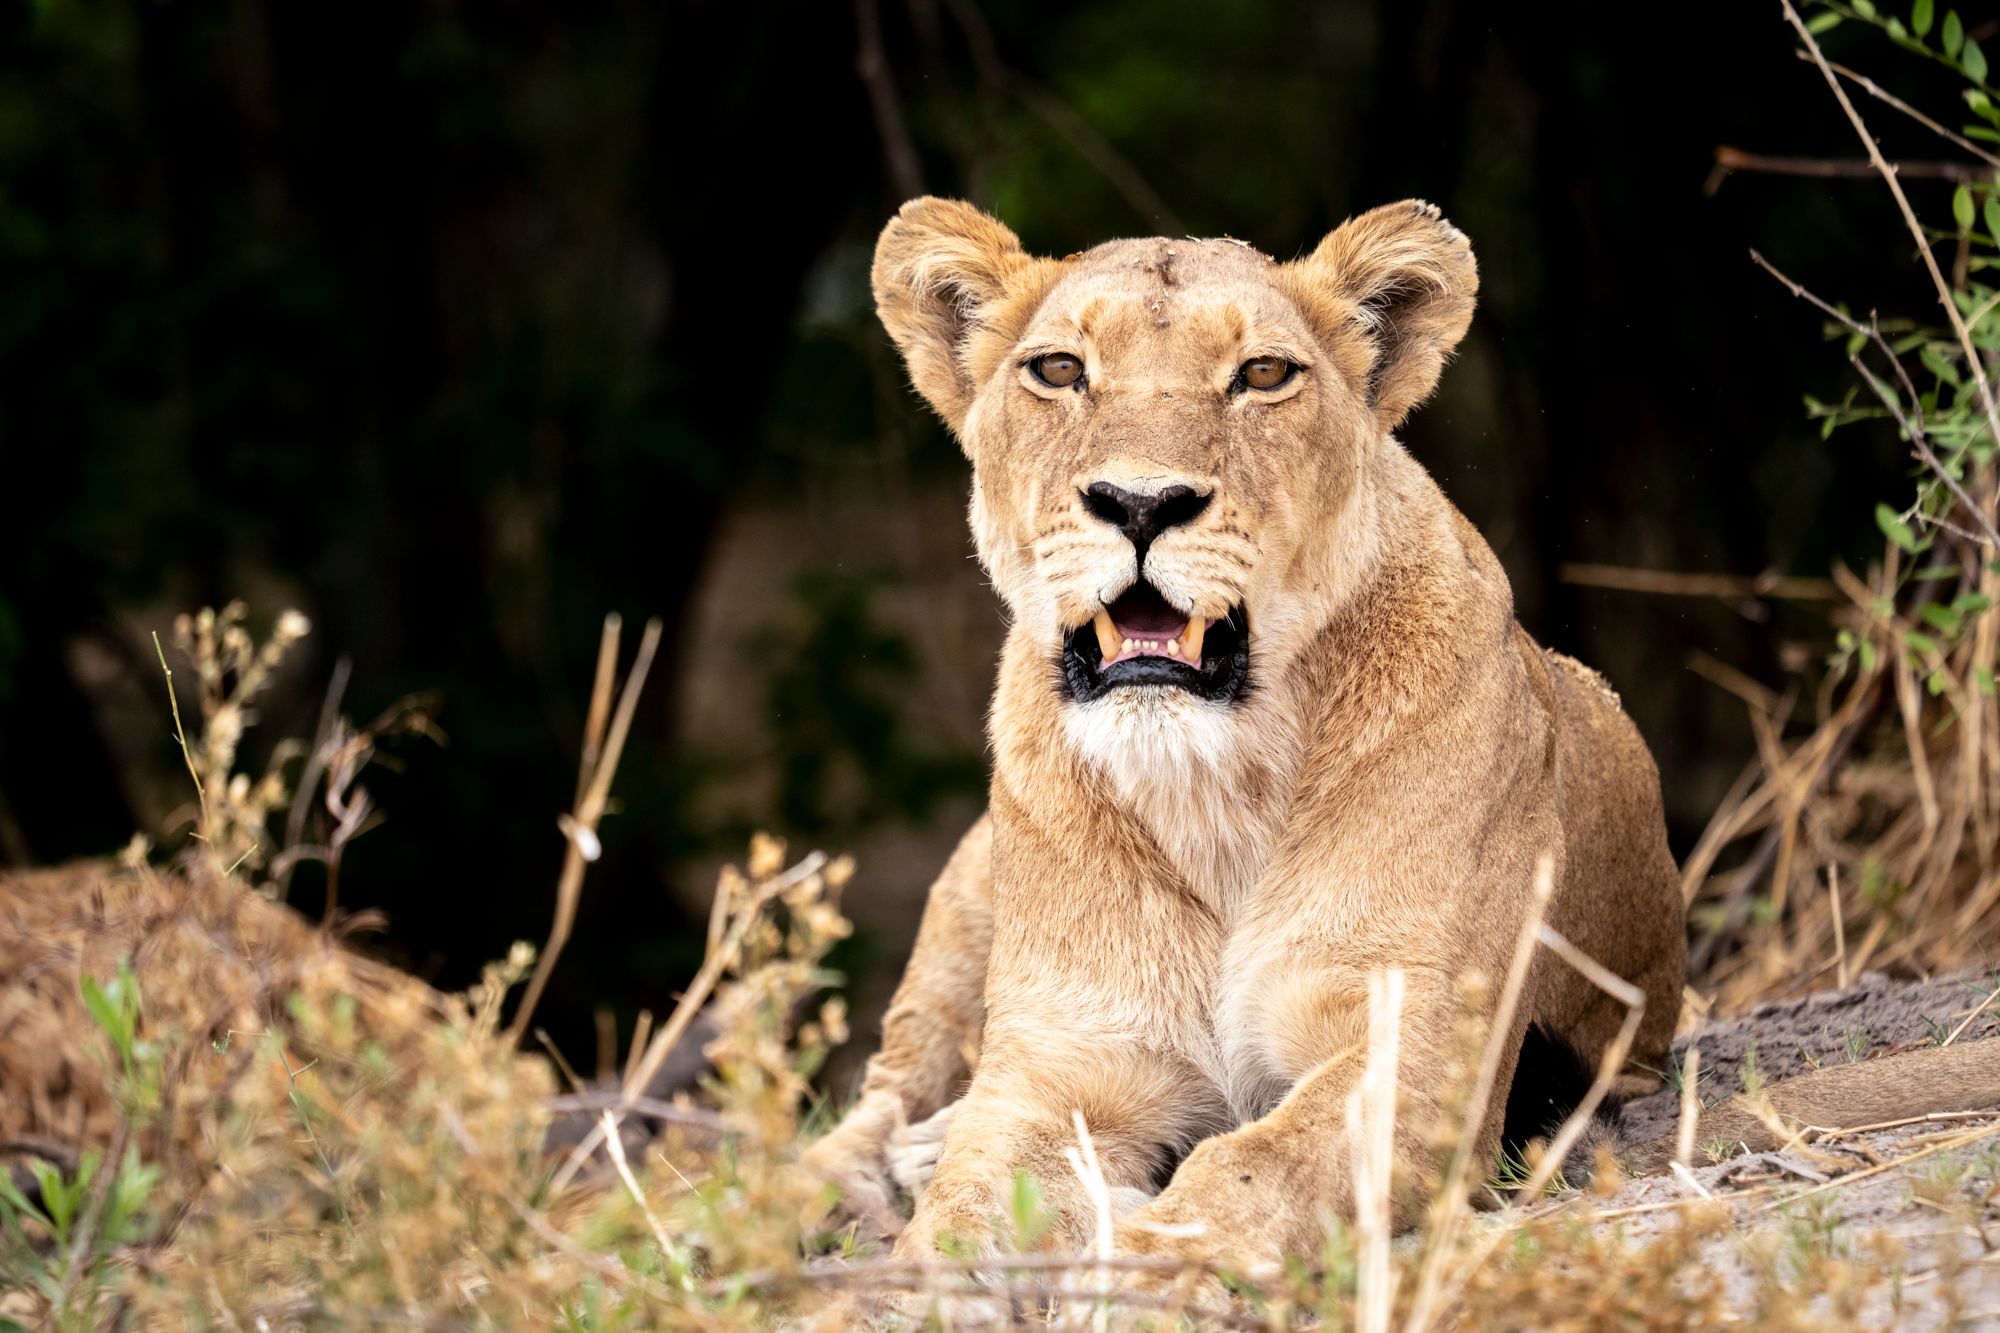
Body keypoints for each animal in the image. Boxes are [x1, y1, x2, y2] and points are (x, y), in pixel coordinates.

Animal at [798, 196, 2000, 1286]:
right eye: (1056, 370)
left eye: (1262, 375)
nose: (1139, 503)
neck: (1213, 786)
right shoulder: (1052, 1071)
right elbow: (968, 1205)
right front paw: (948, 1247)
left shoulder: (1414, 1051)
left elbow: (1255, 1164)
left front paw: (1146, 1255)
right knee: (881, 1092)